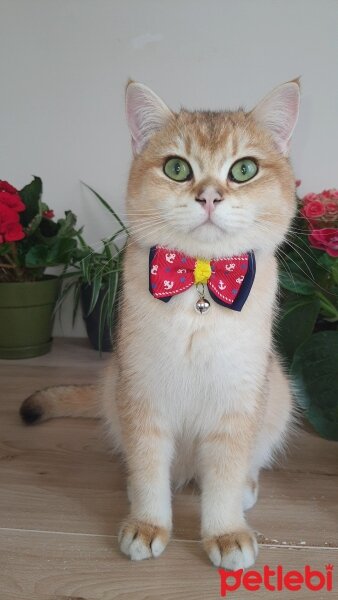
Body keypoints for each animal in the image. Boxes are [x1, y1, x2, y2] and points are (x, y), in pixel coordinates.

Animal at [20, 77, 302, 568]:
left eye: (244, 170)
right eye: (176, 168)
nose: (209, 197)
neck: (200, 282)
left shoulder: (236, 403)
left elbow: (225, 475)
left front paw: (226, 533)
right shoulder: (142, 393)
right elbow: (149, 467)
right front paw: (148, 525)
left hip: (278, 391)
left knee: (244, 466)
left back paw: (246, 489)